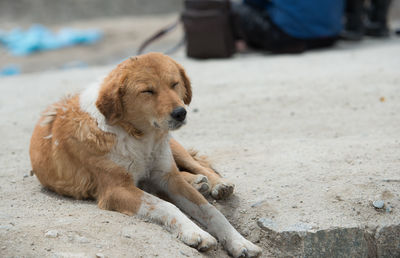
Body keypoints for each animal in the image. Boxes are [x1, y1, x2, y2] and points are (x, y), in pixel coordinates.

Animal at [30, 53, 262, 258]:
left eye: (174, 84)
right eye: (147, 91)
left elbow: (212, 211)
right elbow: (166, 205)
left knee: (197, 164)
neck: (140, 137)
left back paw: (216, 184)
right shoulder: (117, 189)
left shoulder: (167, 177)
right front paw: (195, 232)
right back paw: (197, 182)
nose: (181, 113)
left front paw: (240, 242)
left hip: (173, 147)